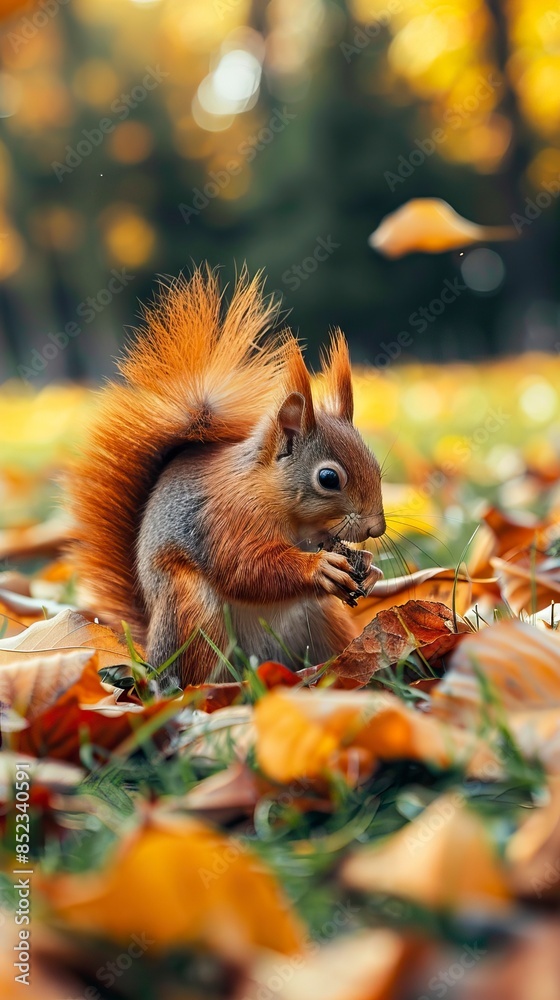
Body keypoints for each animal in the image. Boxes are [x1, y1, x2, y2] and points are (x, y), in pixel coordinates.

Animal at [66, 267, 386, 686]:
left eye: (377, 466)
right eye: (329, 478)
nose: (377, 528)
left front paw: (371, 566)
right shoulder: (227, 517)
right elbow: (245, 568)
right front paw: (318, 567)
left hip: (322, 620)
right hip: (193, 615)